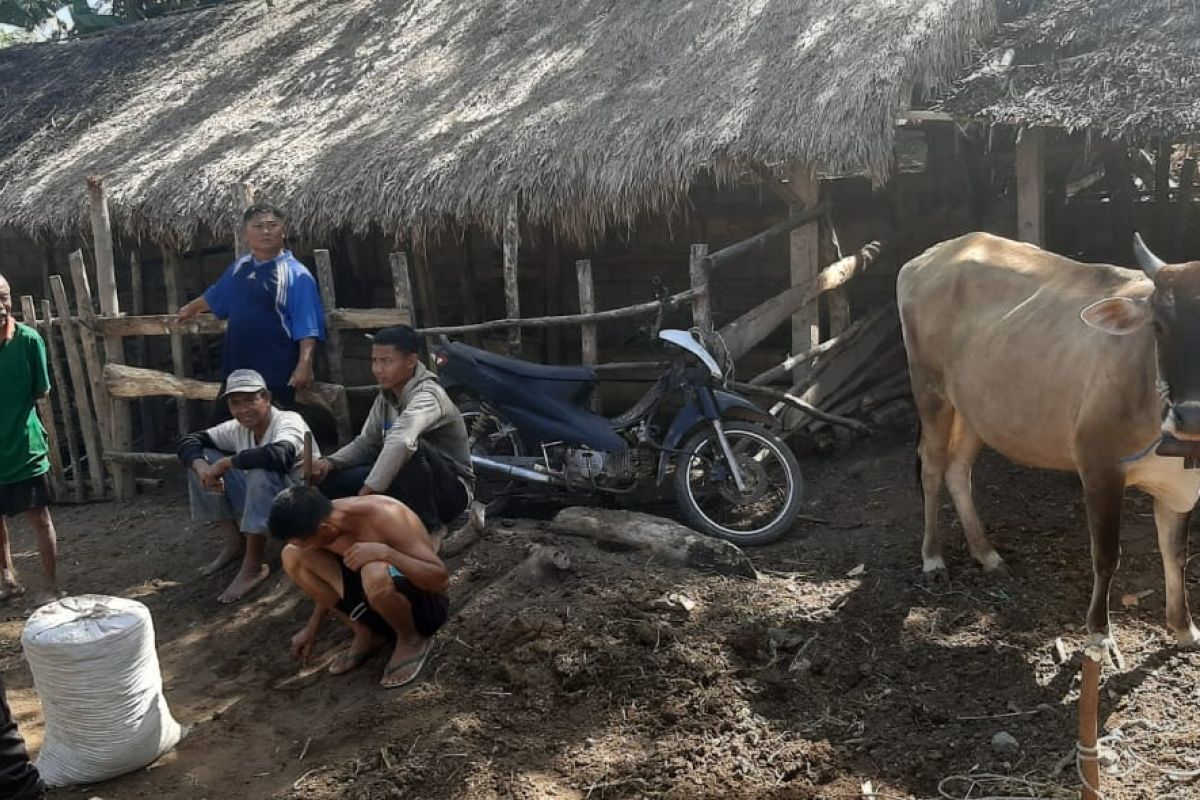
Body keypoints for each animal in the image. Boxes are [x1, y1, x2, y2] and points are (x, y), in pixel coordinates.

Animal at [902, 232, 1200, 662]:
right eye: (1158, 326)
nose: (1190, 416)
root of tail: (936, 251)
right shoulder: (1098, 464)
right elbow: (1106, 555)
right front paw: (1099, 635)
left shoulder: (1180, 485)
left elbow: (1176, 553)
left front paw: (1184, 628)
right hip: (930, 390)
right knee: (931, 468)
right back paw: (933, 558)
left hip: (978, 408)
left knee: (958, 468)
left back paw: (987, 554)